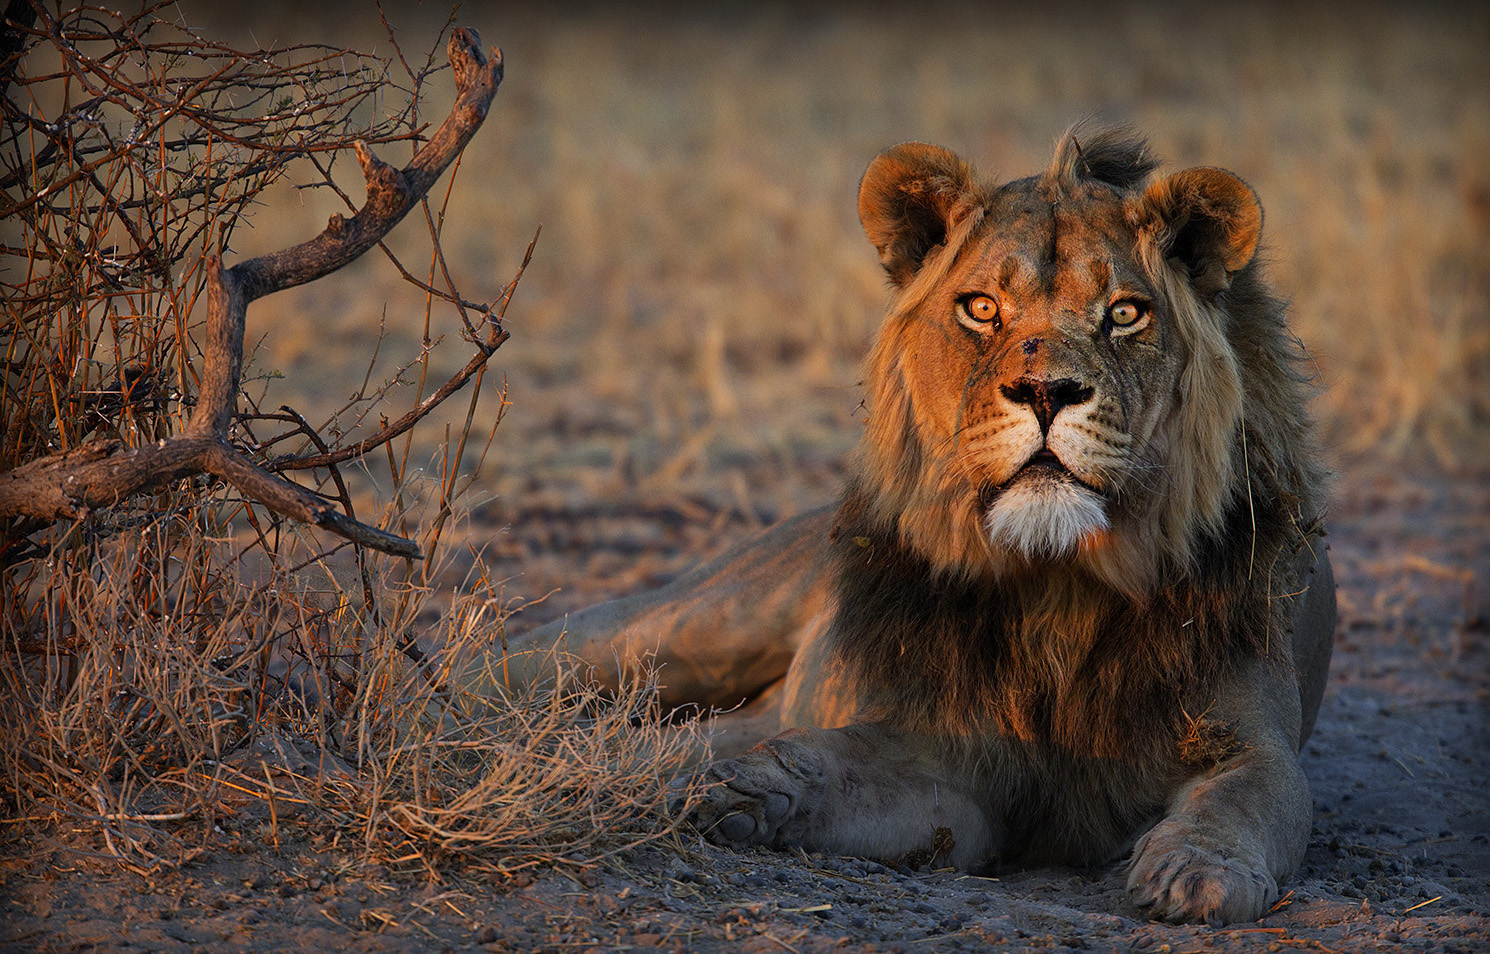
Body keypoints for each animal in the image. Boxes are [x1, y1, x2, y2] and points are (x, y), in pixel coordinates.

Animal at [488, 130, 1341, 930]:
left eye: (1125, 313)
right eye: (982, 308)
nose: (1046, 391)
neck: (1058, 587)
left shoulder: (1247, 741)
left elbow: (1243, 797)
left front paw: (1198, 873)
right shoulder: (947, 762)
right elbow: (823, 758)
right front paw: (732, 792)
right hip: (690, 628)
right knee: (539, 661)